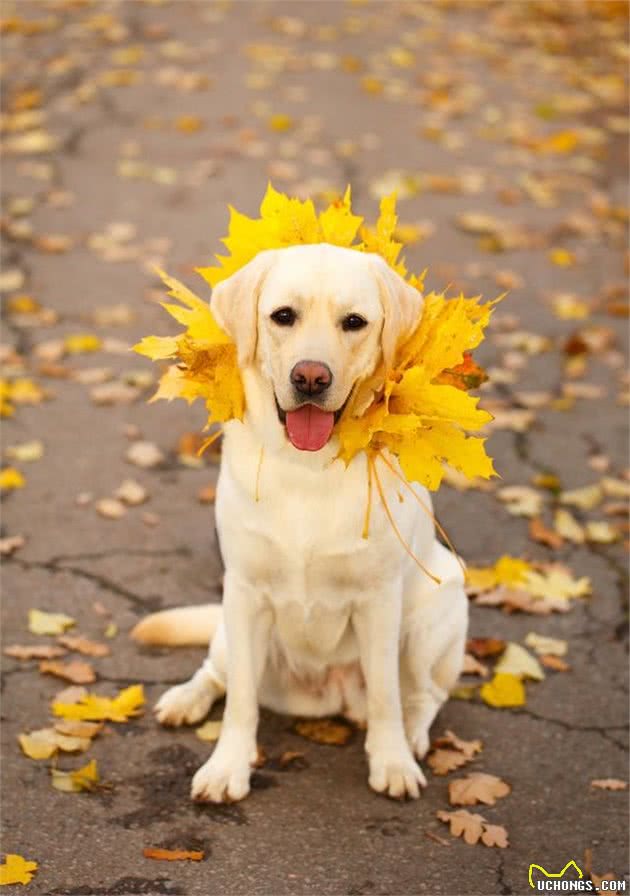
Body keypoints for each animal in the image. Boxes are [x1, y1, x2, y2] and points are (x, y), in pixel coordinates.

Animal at [133, 245, 470, 804]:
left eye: (354, 322)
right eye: (283, 316)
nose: (310, 377)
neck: (306, 467)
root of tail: (326, 695)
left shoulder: (379, 600)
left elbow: (386, 695)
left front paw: (393, 761)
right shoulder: (244, 591)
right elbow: (240, 703)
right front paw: (227, 767)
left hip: (437, 610)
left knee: (422, 695)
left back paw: (413, 738)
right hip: (230, 629)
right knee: (218, 674)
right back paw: (185, 699)